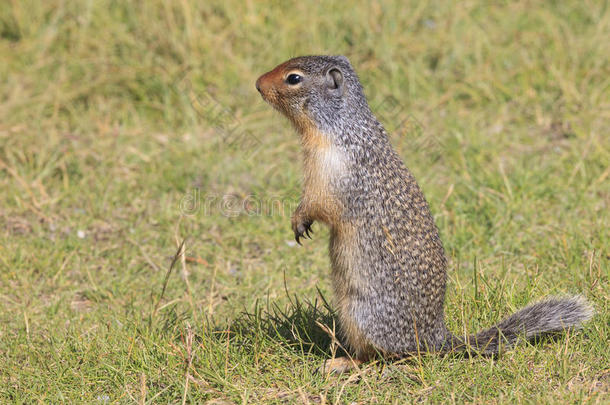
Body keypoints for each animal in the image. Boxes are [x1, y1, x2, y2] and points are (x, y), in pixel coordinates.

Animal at [254, 54, 592, 372]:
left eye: (293, 78)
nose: (257, 84)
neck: (341, 128)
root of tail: (435, 337)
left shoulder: (330, 174)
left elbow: (318, 203)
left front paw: (299, 221)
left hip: (359, 314)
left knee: (380, 356)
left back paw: (341, 363)